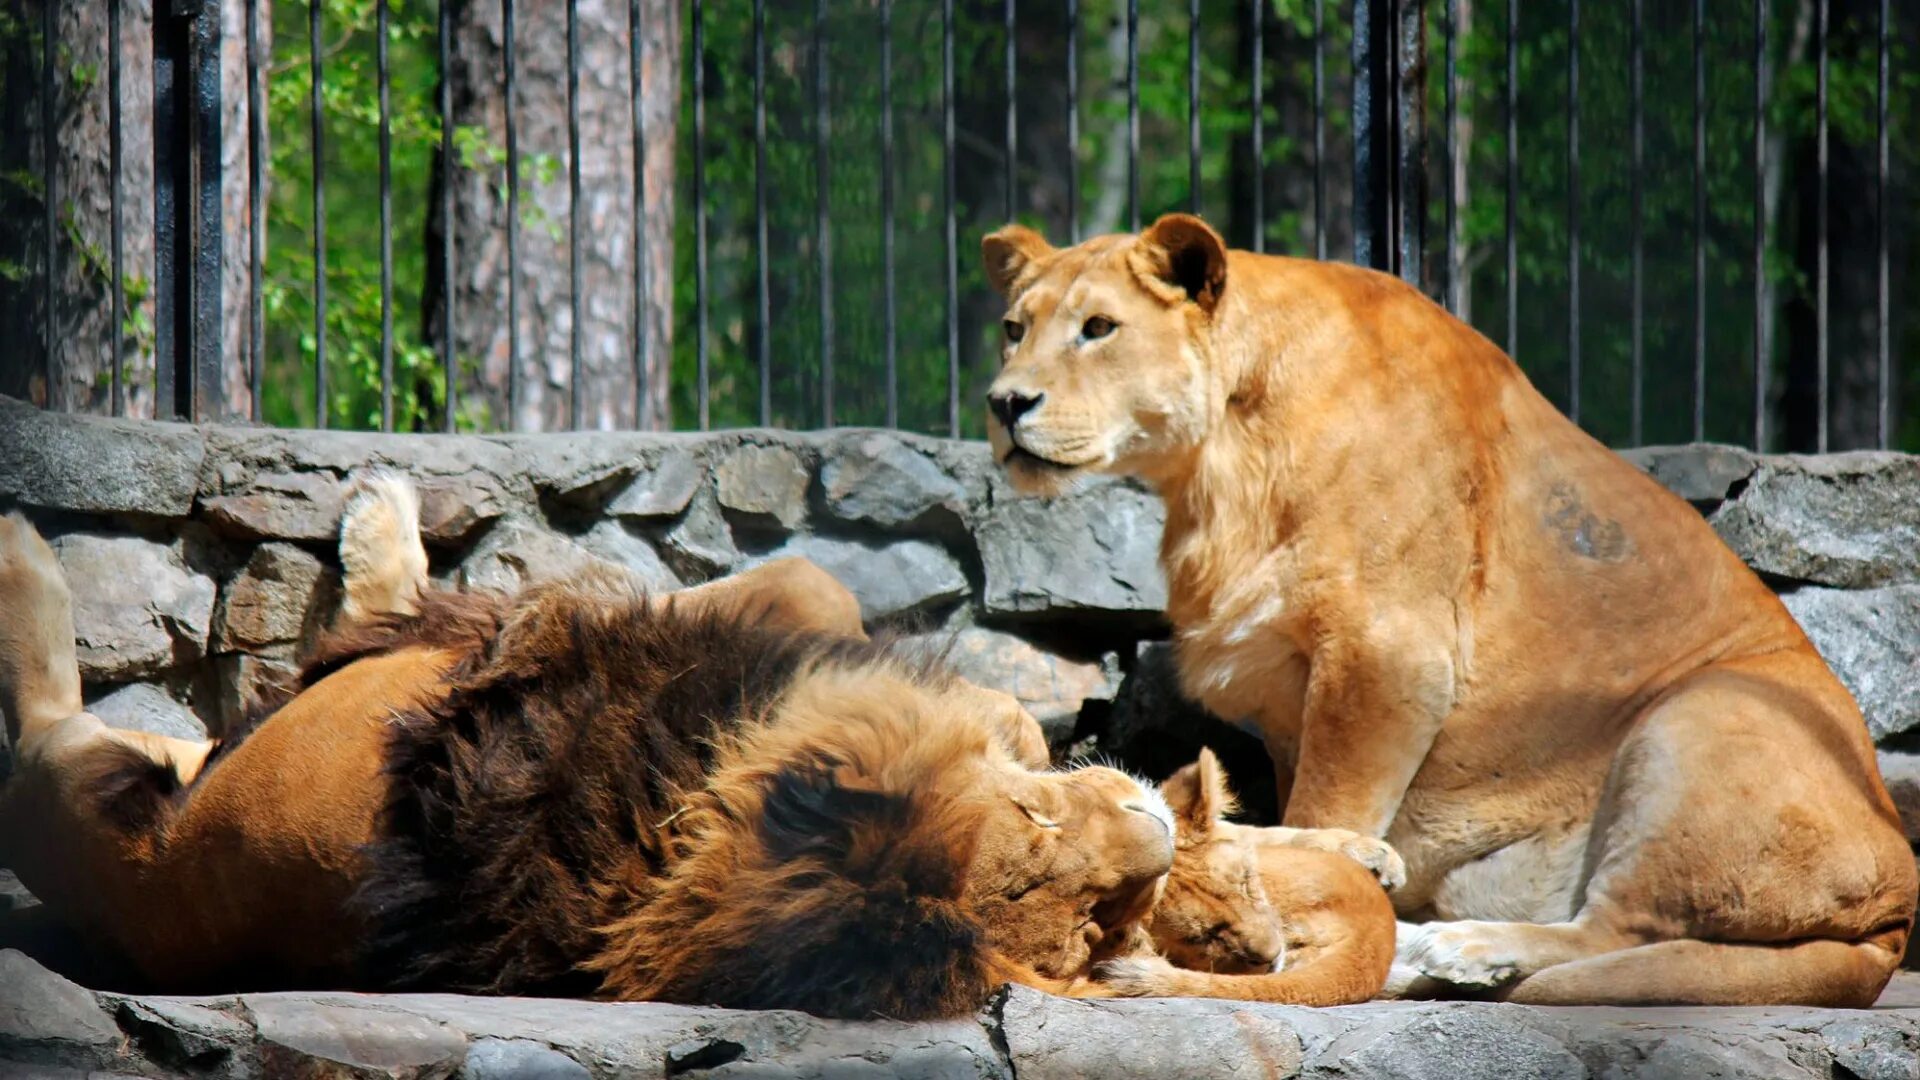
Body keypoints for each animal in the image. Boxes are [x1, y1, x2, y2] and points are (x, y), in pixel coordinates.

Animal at [983, 214, 1912, 1006]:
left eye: (1099, 328)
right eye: (1014, 328)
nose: (1003, 403)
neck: (1220, 456)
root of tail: (1896, 913)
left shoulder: (1389, 655)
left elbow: (1328, 807)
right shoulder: (1285, 686)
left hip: (1700, 715)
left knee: (1617, 928)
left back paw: (1463, 948)